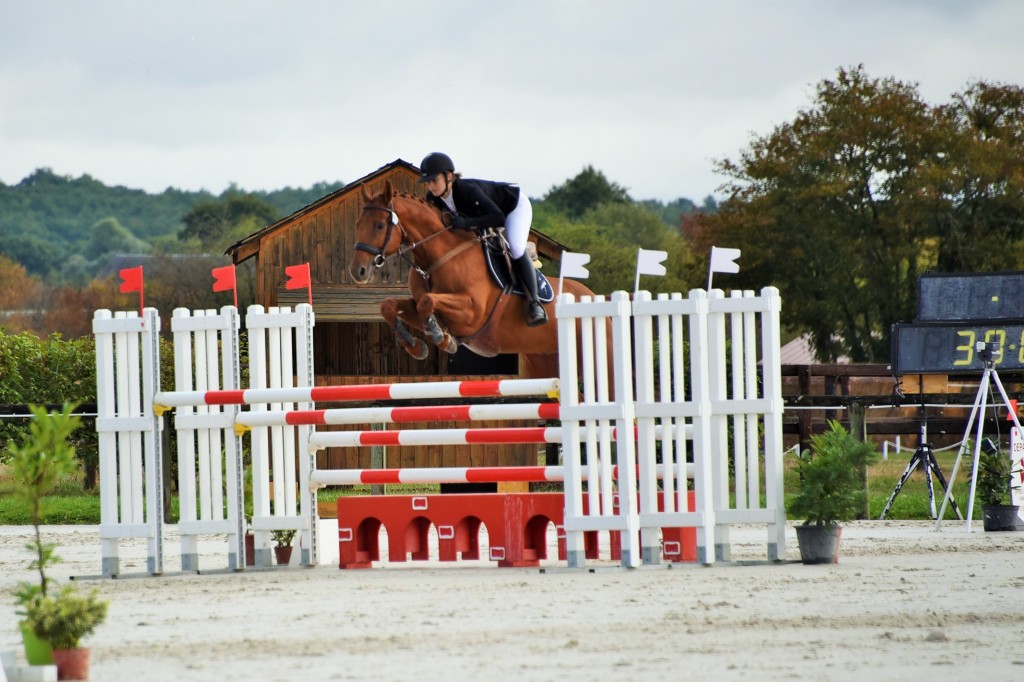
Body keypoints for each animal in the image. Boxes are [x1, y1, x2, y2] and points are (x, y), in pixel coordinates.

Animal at [350, 179, 598, 376]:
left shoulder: (472, 312)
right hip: (543, 360)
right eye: (357, 224)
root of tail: (592, 295)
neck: (438, 256)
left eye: (379, 225)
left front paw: (441, 337)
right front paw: (416, 346)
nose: (357, 271)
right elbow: (389, 305)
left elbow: (427, 301)